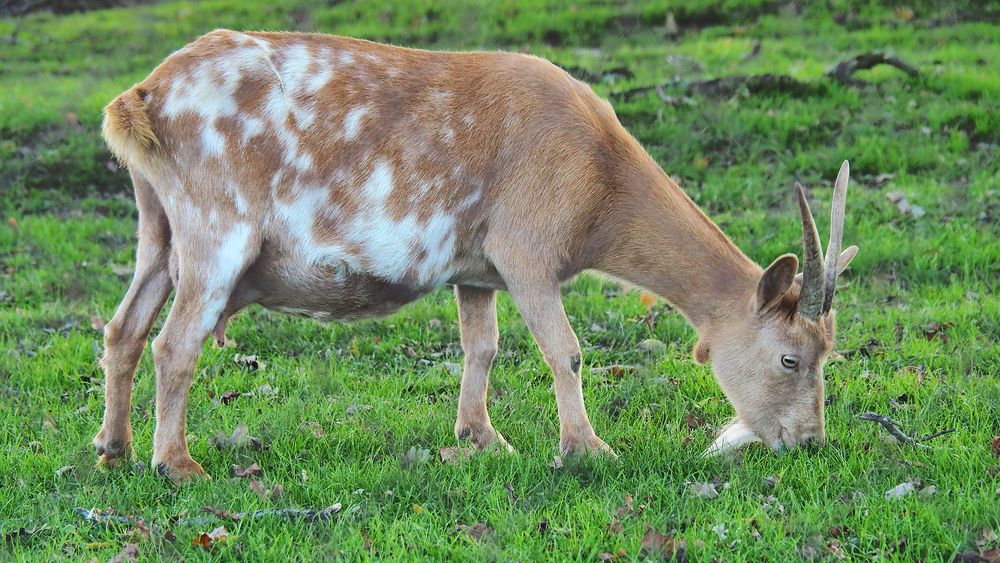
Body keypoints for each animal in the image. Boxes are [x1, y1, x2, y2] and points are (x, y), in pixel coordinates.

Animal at [97, 28, 856, 482]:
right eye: (790, 358)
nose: (811, 442)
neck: (600, 175)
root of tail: (141, 99)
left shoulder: (476, 269)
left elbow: (482, 346)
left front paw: (480, 438)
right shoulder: (526, 250)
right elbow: (564, 349)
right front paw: (587, 450)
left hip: (157, 226)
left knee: (124, 328)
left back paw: (115, 449)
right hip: (216, 227)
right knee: (174, 342)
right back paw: (176, 463)